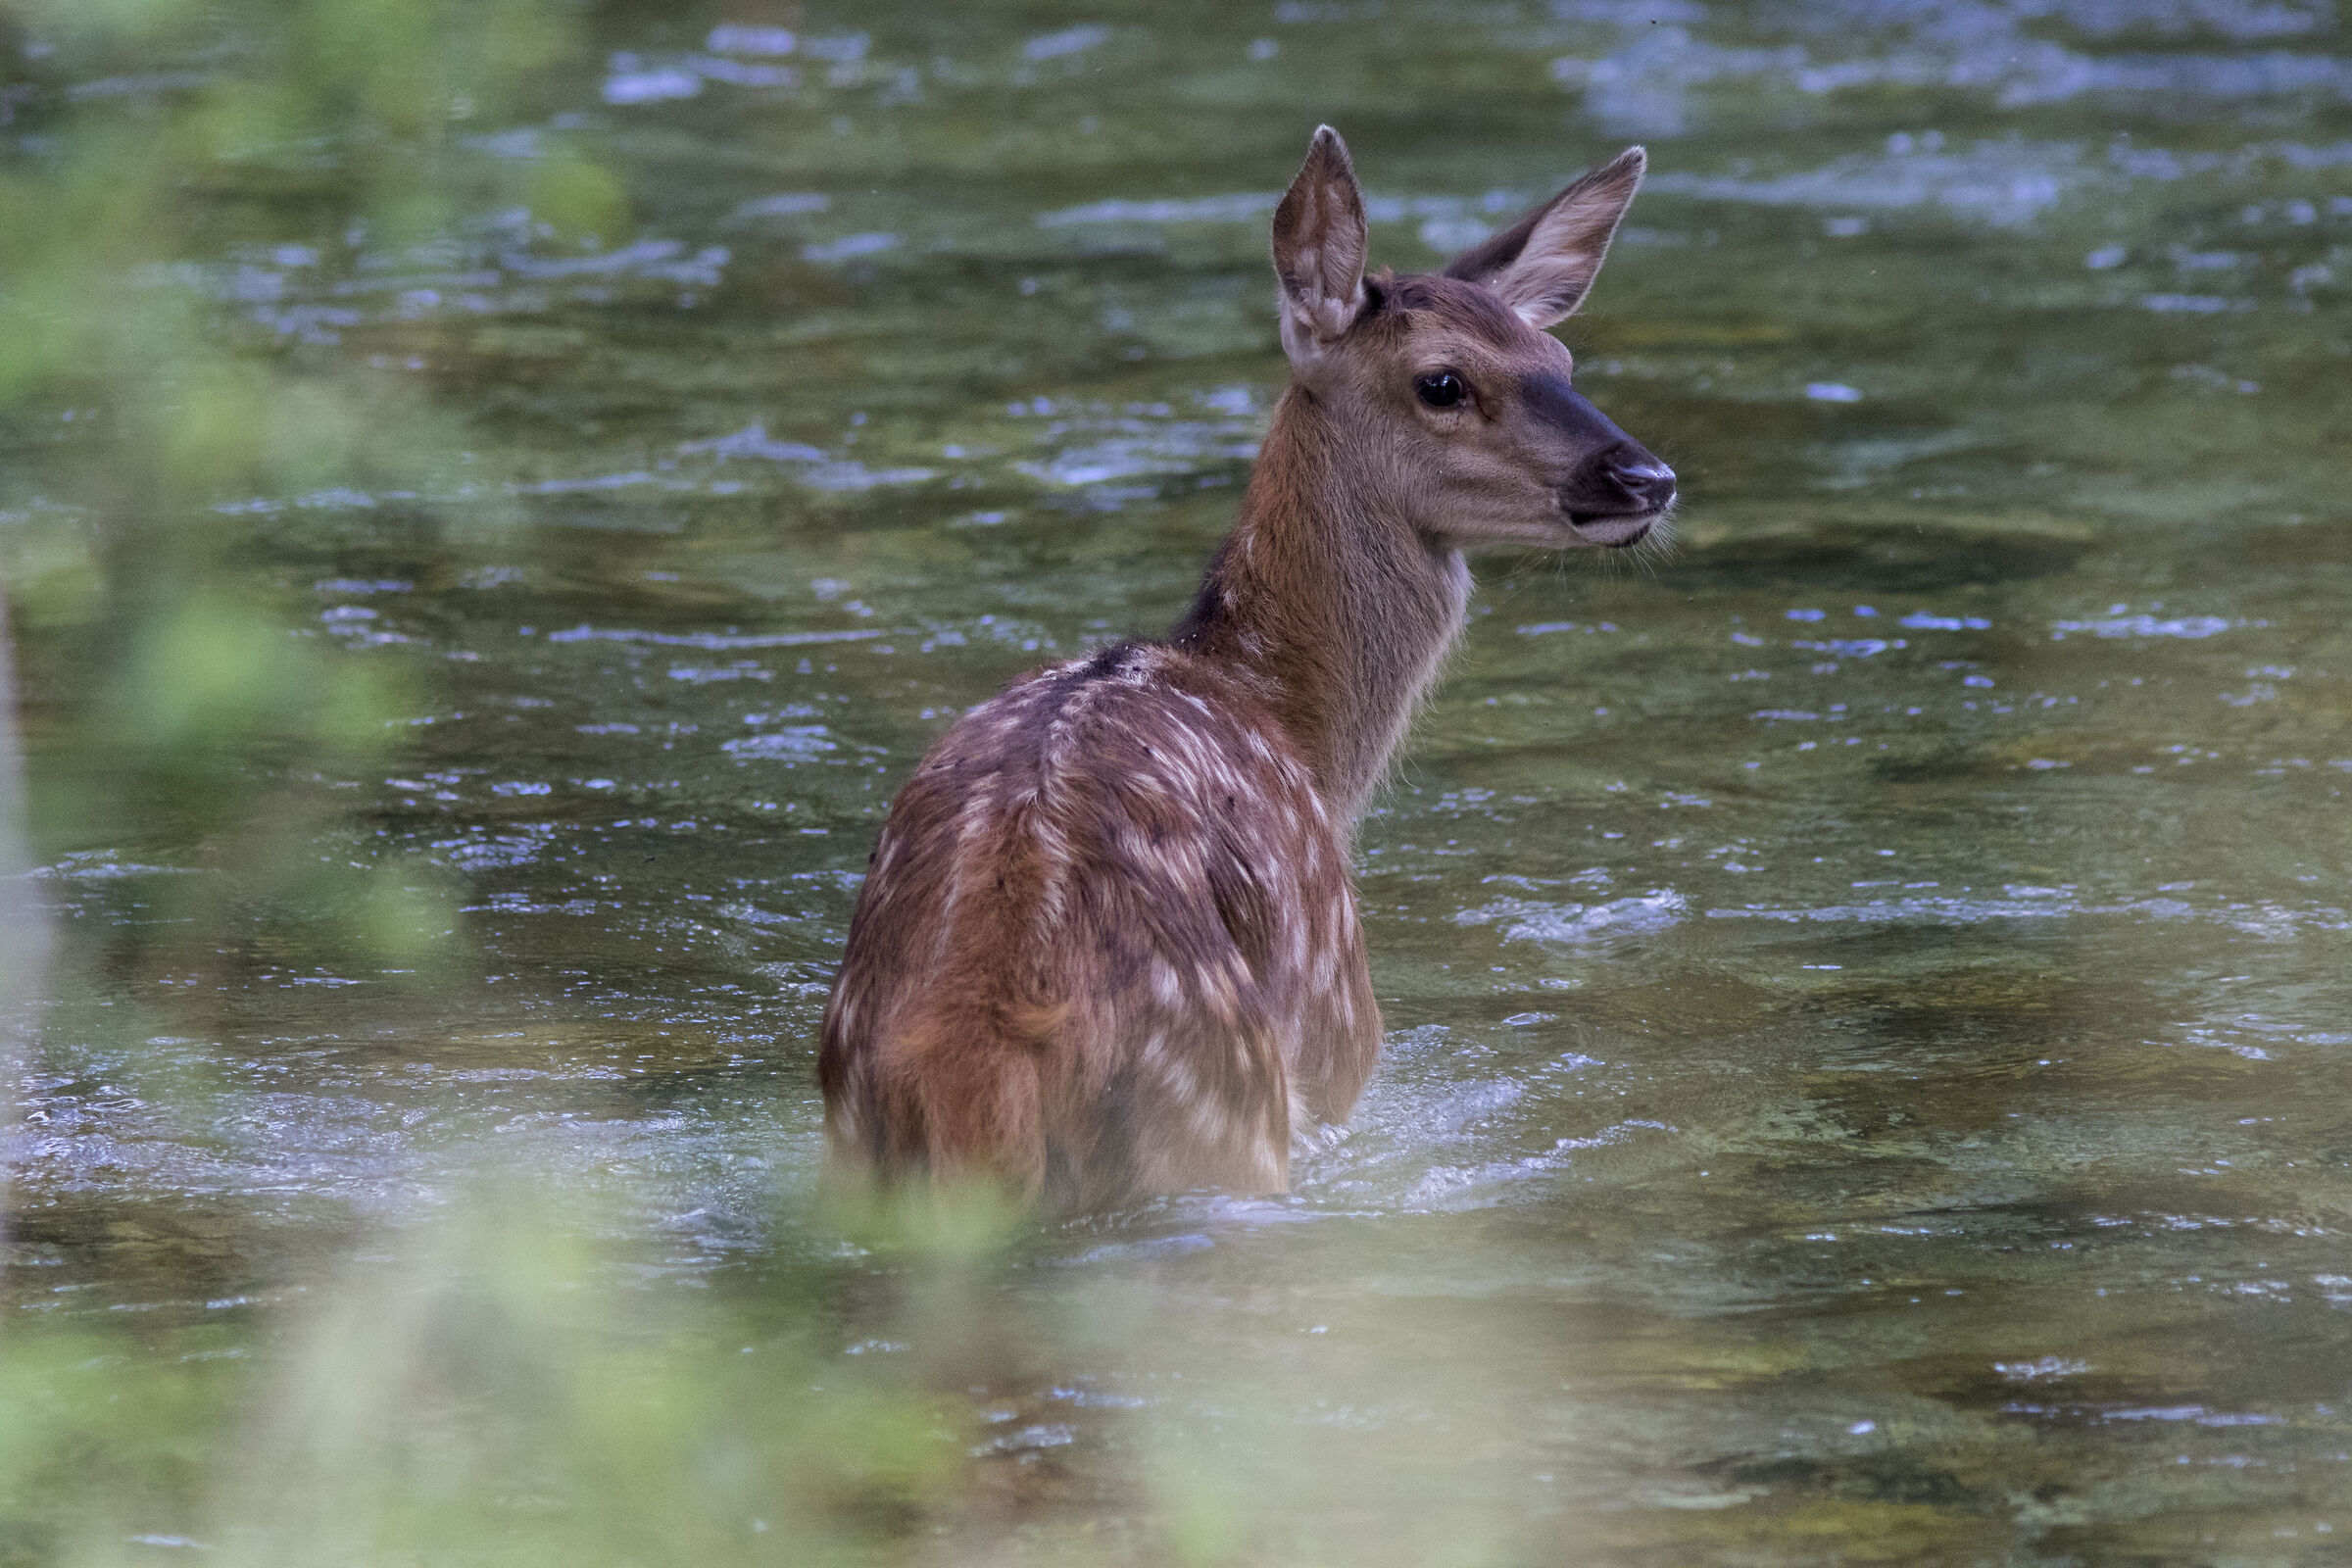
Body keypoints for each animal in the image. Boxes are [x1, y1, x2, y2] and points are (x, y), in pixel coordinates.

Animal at [818, 126, 1675, 1212]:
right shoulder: (1343, 1036)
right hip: (1230, 1106)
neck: (1285, 716)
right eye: (1442, 381)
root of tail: (979, 1053)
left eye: (1559, 356)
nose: (1647, 476)